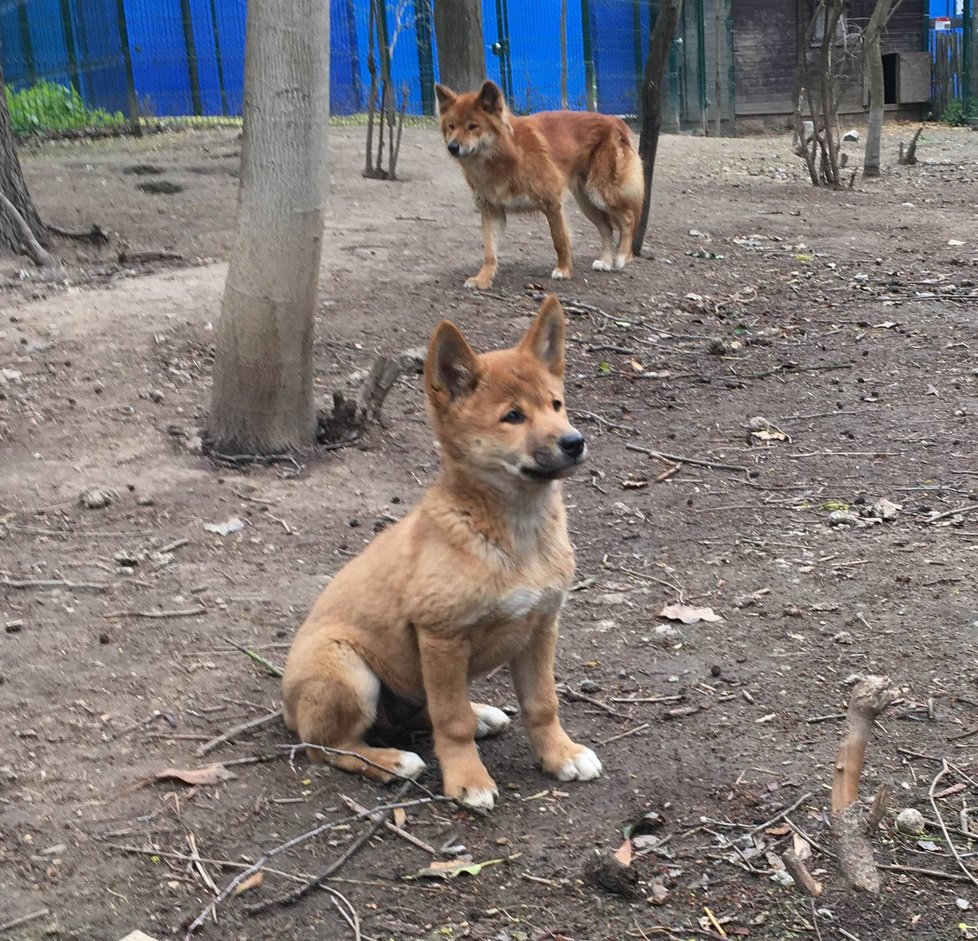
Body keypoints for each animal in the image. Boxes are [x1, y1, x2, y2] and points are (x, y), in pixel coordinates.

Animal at [282, 294, 600, 808]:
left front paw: (560, 754)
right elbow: (451, 722)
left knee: (419, 712)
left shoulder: (541, 627)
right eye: (513, 416)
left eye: (557, 405)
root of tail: (287, 708)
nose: (575, 442)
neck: (516, 534)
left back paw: (481, 714)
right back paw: (391, 762)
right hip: (349, 670)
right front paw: (467, 778)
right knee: (329, 746)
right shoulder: (441, 637)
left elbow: (541, 703)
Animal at [434, 79, 640, 288]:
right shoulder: (491, 210)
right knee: (607, 227)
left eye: (472, 126)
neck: (502, 158)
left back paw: (622, 256)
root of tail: (614, 120)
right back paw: (605, 261)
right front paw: (483, 278)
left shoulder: (551, 202)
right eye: (451, 126)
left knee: (628, 217)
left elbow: (559, 240)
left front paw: (564, 270)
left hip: (600, 191)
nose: (452, 147)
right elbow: (489, 251)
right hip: (586, 200)